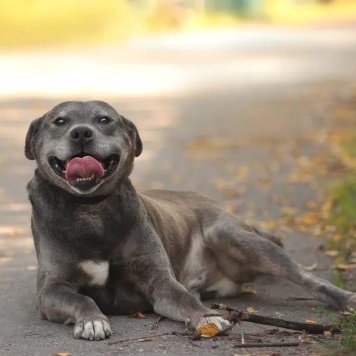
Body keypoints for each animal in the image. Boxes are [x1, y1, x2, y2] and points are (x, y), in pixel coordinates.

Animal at [26, 101, 356, 340]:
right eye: (59, 122)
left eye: (104, 120)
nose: (81, 133)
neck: (91, 207)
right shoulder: (50, 290)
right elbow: (81, 300)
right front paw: (93, 321)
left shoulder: (160, 282)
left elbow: (185, 300)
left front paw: (206, 317)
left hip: (230, 233)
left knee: (308, 278)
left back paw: (346, 298)